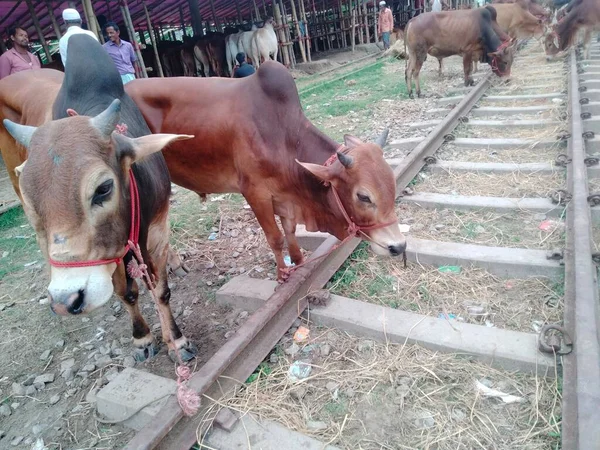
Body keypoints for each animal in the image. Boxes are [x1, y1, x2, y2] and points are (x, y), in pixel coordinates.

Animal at [0, 36, 197, 366]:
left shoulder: (157, 229)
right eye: (30, 199)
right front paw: (142, 338)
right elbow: (127, 293)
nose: (65, 300)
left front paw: (178, 342)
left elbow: (161, 291)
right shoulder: (110, 254)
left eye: (104, 188)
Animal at [123, 61, 406, 280]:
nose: (399, 246)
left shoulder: (286, 197)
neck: (282, 136)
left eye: (393, 185)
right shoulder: (255, 193)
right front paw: (282, 275)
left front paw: (298, 262)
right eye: (363, 196)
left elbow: (290, 232)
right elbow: (276, 238)